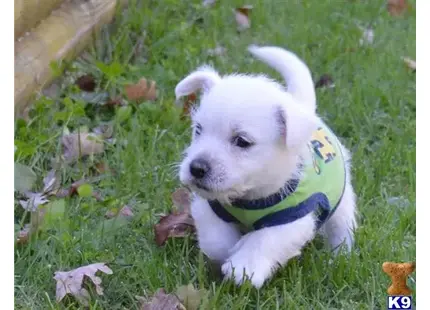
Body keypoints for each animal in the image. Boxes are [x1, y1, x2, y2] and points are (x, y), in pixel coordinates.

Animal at [174, 44, 356, 288]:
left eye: (242, 141)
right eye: (198, 129)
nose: (196, 168)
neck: (249, 198)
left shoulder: (292, 219)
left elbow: (265, 239)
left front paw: (244, 265)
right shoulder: (210, 207)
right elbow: (217, 242)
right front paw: (231, 251)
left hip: (342, 203)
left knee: (342, 228)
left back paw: (338, 257)